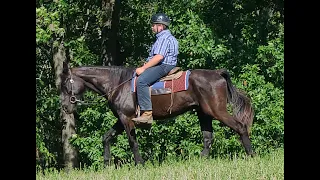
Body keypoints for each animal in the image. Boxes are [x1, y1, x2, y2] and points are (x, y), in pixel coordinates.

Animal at [60, 62, 254, 166]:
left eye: (65, 84)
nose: (65, 108)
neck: (117, 84)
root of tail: (217, 73)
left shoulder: (126, 119)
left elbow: (132, 142)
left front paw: (140, 164)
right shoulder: (121, 119)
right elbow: (106, 137)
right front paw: (107, 163)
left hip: (217, 111)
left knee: (240, 127)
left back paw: (252, 155)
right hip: (204, 113)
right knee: (208, 138)